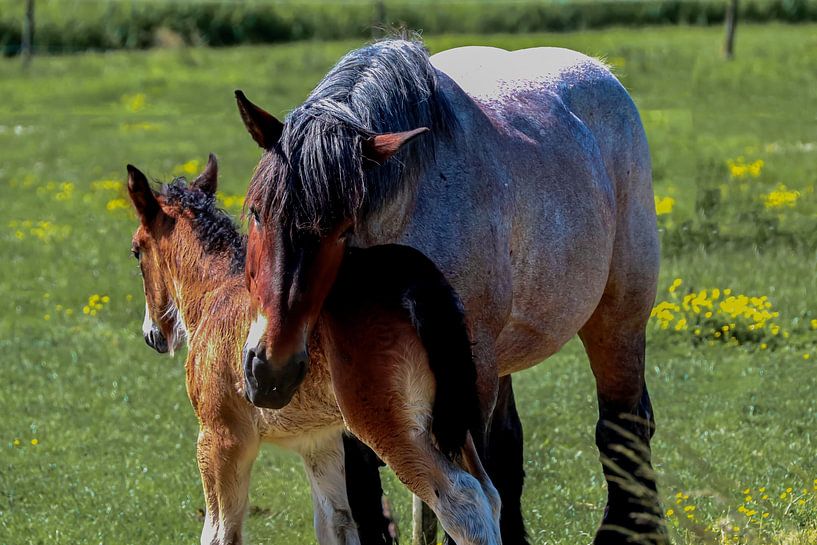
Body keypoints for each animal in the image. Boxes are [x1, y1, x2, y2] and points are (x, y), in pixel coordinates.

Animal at [125, 155, 497, 545]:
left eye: (136, 251)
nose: (152, 334)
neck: (217, 293)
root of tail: (413, 280)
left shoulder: (220, 437)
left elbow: (220, 532)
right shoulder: (319, 443)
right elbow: (336, 523)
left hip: (395, 431)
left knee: (463, 502)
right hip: (454, 421)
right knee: (490, 493)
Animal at [237, 38, 667, 545]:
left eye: (342, 230)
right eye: (257, 212)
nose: (270, 371)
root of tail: (601, 72)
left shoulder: (464, 379)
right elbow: (364, 486)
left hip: (617, 318)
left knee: (622, 426)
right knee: (509, 447)